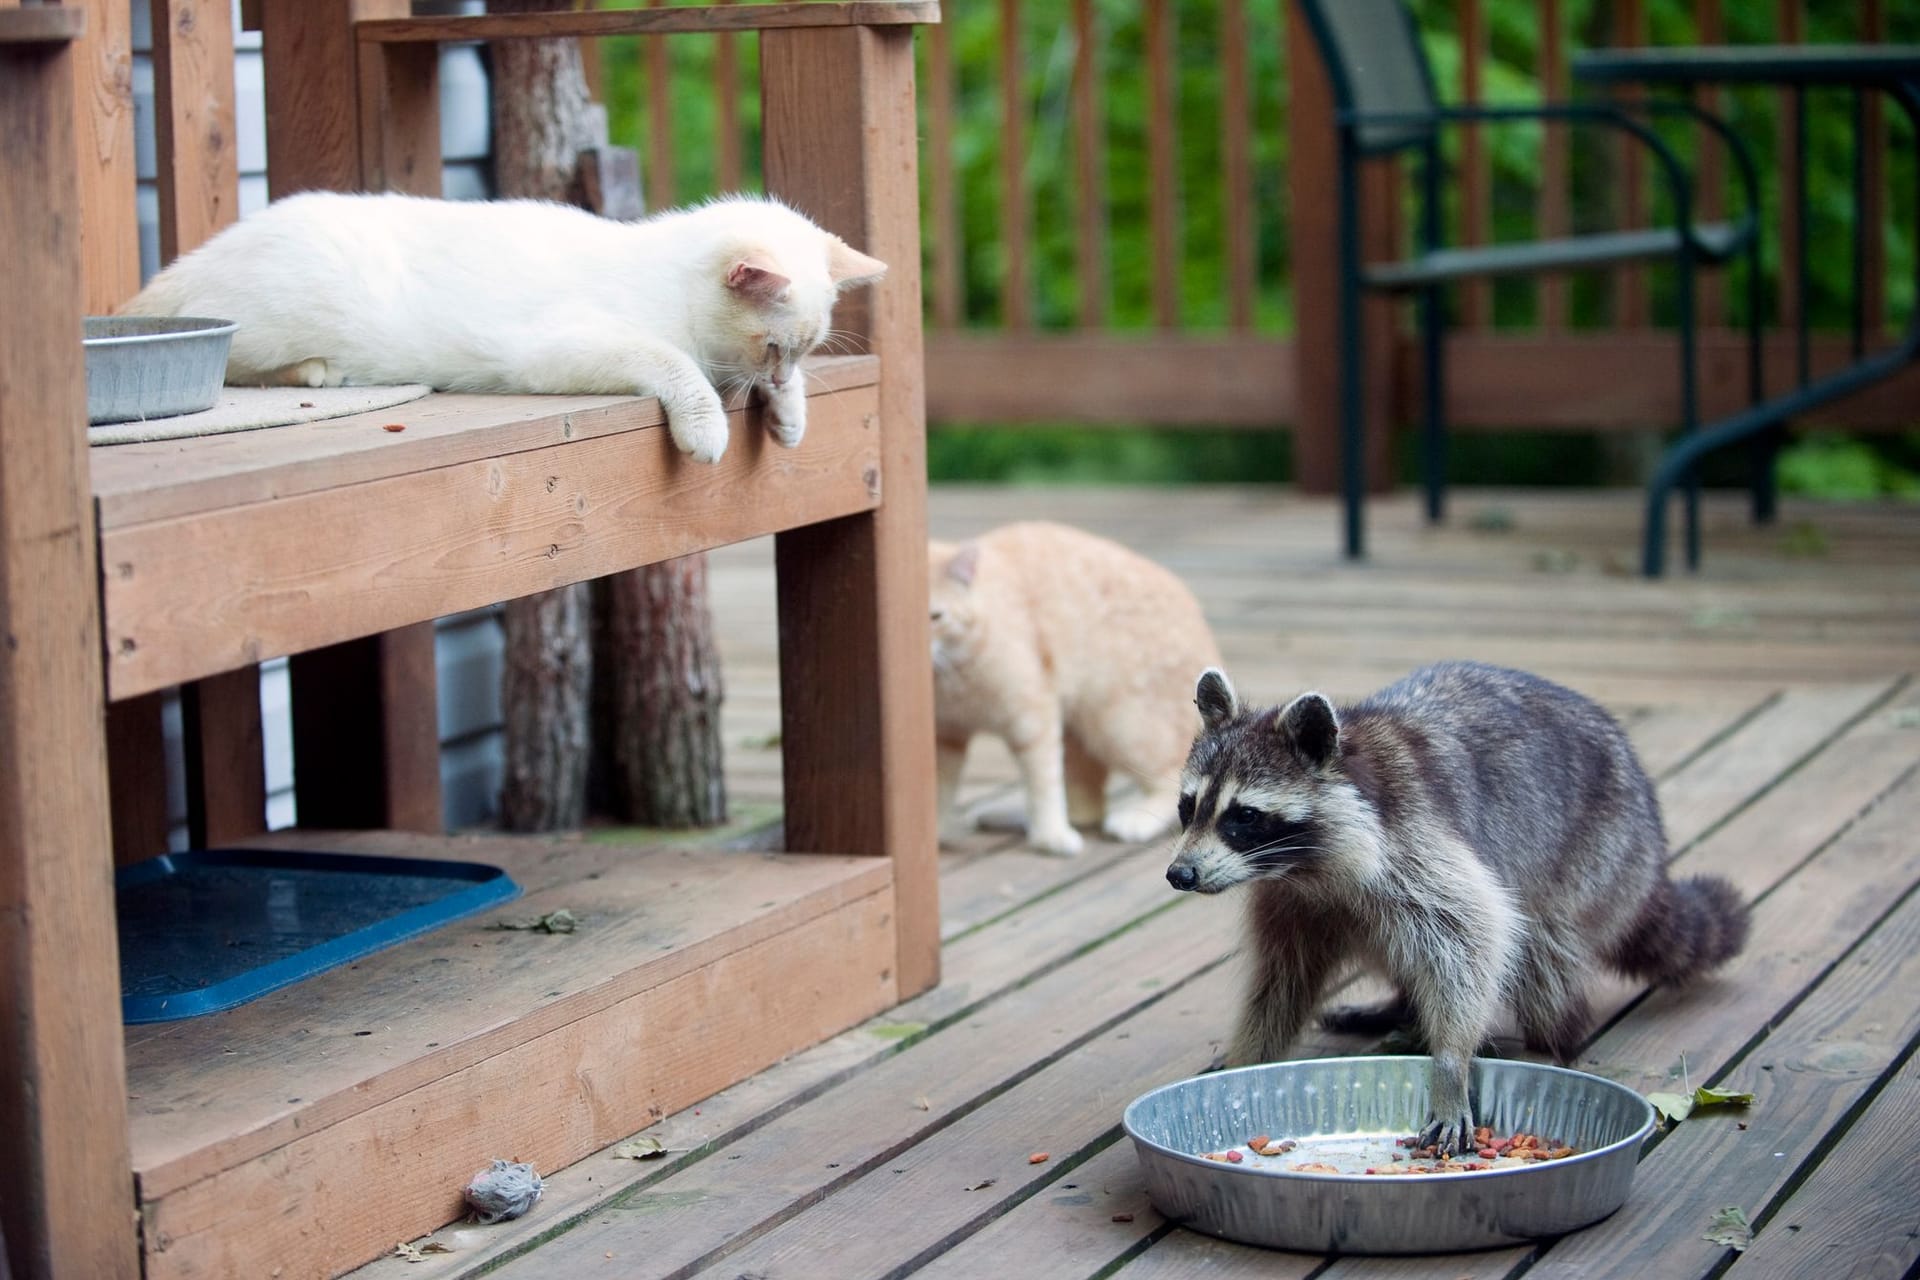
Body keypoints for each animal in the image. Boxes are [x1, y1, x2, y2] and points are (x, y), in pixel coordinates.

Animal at [123, 192, 887, 462]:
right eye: (773, 345)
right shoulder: (561, 351)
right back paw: (315, 372)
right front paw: (709, 428)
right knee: (234, 359)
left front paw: (789, 410)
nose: (781, 371)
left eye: (801, 351)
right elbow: (677, 365)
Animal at [925, 521, 1221, 859]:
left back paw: (1133, 821)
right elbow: (939, 790)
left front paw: (1051, 836)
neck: (950, 678)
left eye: (935, 617)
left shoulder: (1033, 718)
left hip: (1121, 726)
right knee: (1088, 805)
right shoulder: (946, 736)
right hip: (1080, 734)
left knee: (1169, 780)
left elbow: (1043, 783)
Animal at [1159, 667, 1751, 1159]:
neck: (1306, 866)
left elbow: (1473, 934)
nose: (1180, 874)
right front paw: (1250, 1055)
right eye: (1188, 807)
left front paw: (1449, 1064)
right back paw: (1399, 1007)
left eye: (1243, 816)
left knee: (1539, 945)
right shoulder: (1291, 900)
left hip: (1599, 852)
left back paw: (1552, 1038)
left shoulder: (1413, 843)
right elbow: (1281, 980)